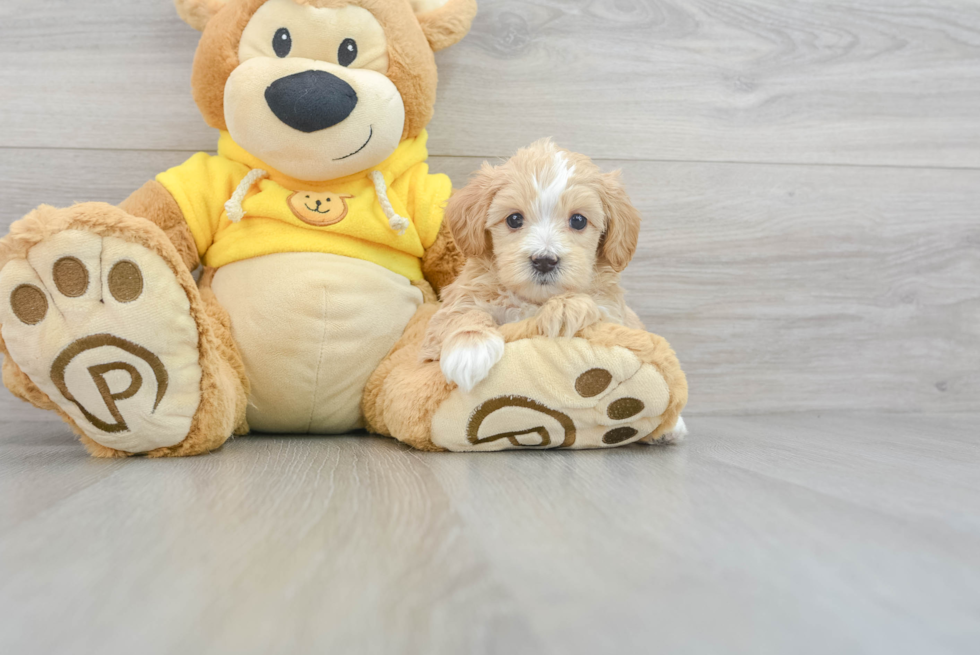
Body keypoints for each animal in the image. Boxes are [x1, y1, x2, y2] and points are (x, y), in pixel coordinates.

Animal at [422, 139, 644, 394]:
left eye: (578, 221)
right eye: (514, 219)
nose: (544, 261)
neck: (533, 300)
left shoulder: (616, 319)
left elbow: (597, 308)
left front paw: (565, 308)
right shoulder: (445, 317)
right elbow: (462, 312)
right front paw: (469, 349)